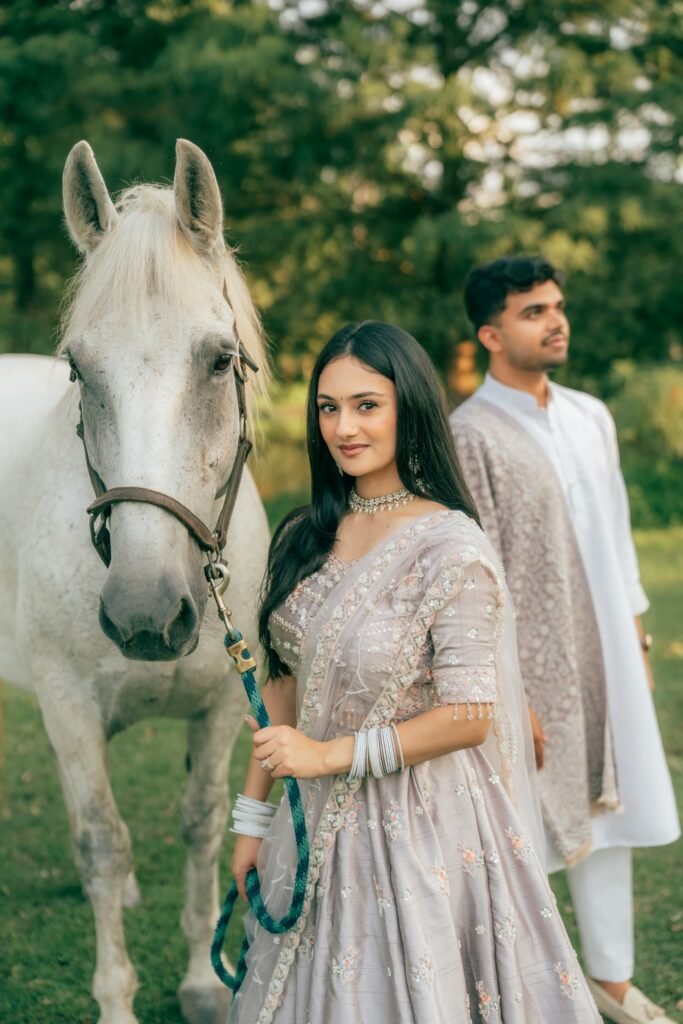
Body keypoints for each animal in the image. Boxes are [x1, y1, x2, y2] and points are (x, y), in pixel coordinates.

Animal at [0, 140, 271, 1024]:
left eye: (220, 361)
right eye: (80, 372)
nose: (146, 615)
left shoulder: (223, 707)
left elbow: (201, 823)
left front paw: (201, 979)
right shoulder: (67, 705)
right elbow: (102, 841)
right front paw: (116, 997)